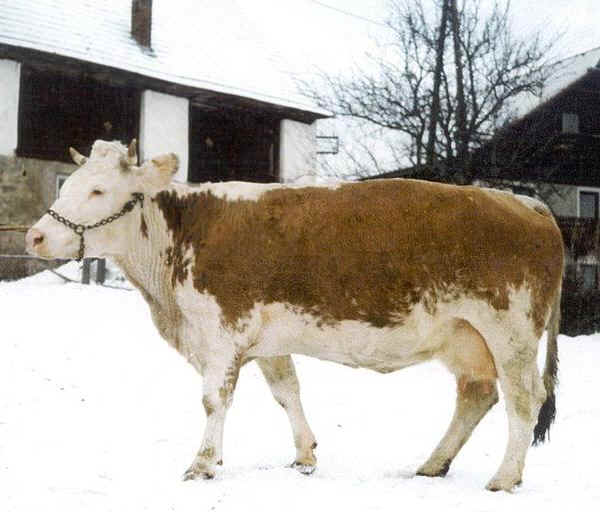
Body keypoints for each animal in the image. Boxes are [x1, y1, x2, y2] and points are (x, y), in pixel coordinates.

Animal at [25, 140, 564, 492]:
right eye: (69, 185)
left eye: (98, 191)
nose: (34, 236)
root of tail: (524, 200)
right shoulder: (266, 338)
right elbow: (287, 391)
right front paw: (304, 455)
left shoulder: (223, 332)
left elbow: (214, 400)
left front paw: (202, 465)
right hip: (464, 337)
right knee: (477, 395)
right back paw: (434, 464)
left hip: (510, 332)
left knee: (524, 399)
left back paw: (505, 477)